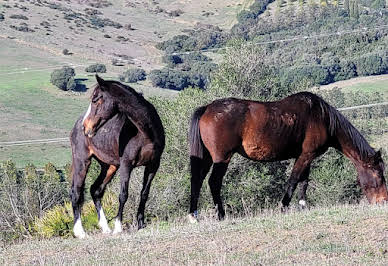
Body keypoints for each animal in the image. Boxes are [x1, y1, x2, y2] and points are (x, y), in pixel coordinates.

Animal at [69, 75, 164, 239]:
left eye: (95, 99)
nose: (86, 127)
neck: (145, 132)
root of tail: (75, 126)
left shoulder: (153, 165)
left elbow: (144, 194)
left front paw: (141, 224)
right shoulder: (126, 165)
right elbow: (123, 194)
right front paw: (118, 227)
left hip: (109, 166)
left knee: (96, 190)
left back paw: (105, 227)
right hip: (82, 162)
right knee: (76, 192)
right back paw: (80, 232)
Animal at [188, 91, 384, 220]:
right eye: (378, 175)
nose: (383, 202)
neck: (322, 117)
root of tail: (207, 108)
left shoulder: (306, 156)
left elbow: (304, 181)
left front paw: (302, 206)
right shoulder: (306, 155)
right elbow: (294, 180)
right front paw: (283, 207)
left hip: (207, 158)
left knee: (197, 180)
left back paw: (193, 215)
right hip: (222, 158)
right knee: (214, 182)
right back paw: (221, 214)